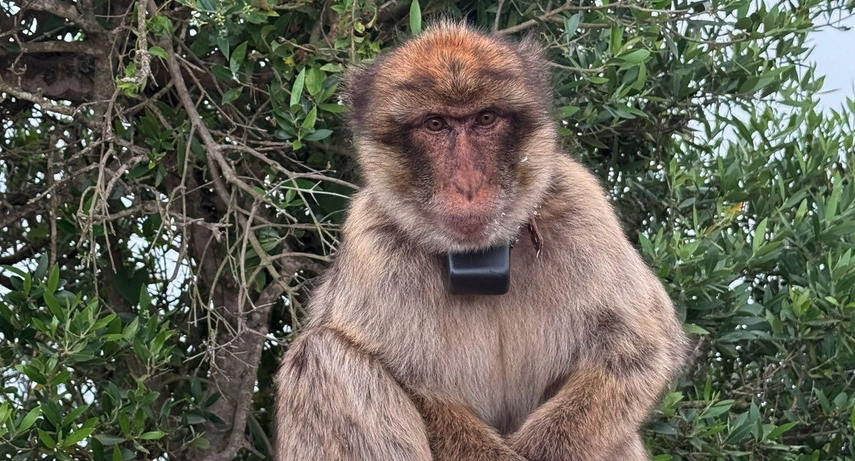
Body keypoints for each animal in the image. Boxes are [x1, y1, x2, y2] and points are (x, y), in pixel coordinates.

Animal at [275, 21, 689, 461]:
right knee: (322, 357)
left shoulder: (583, 211)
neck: (480, 257)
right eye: (435, 124)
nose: (468, 185)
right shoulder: (373, 243)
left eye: (485, 119)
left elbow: (640, 348)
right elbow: (413, 384)